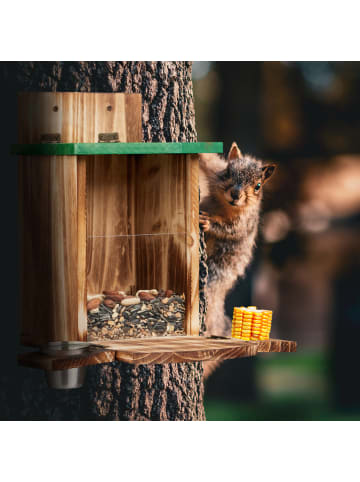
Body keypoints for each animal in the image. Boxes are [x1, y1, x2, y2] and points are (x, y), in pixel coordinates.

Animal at [200, 141, 276, 378]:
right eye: (227, 172)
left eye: (258, 186)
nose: (235, 194)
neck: (225, 206)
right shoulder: (213, 172)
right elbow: (207, 160)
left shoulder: (243, 222)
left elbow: (228, 230)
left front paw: (209, 223)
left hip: (218, 268)